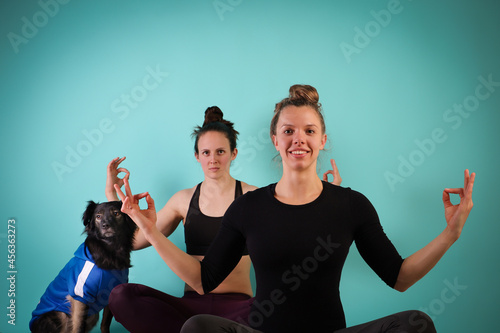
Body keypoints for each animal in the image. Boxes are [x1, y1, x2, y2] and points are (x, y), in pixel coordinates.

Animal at [31, 200, 137, 332]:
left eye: (116, 213)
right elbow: (78, 327)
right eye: (98, 216)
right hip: (61, 316)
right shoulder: (80, 295)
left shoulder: (111, 293)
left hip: (92, 316)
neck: (110, 250)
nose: (105, 225)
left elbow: (105, 323)